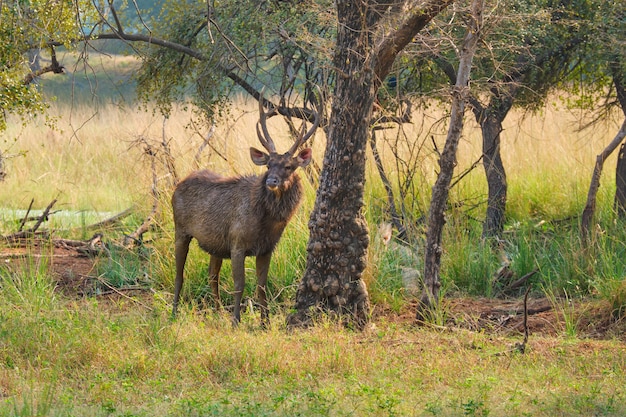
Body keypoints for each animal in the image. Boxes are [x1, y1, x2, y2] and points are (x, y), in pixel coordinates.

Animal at [169, 92, 316, 326]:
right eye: (268, 165)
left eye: (288, 166)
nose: (272, 181)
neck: (266, 224)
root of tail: (178, 185)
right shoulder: (237, 243)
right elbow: (239, 285)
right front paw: (236, 321)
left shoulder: (266, 248)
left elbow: (262, 285)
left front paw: (265, 322)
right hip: (180, 229)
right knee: (179, 273)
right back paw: (174, 312)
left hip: (215, 244)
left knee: (212, 275)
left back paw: (218, 312)